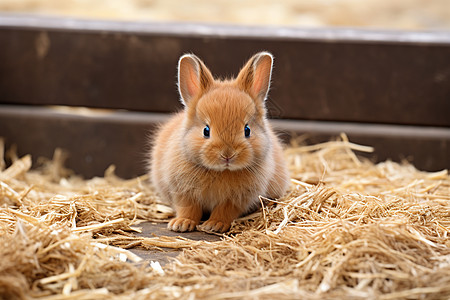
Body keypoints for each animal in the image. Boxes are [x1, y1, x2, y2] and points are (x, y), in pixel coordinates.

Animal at [149, 51, 290, 233]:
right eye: (206, 131)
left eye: (247, 130)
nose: (227, 155)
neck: (221, 171)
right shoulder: (183, 192)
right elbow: (188, 208)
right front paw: (181, 224)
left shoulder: (236, 199)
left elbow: (225, 211)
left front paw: (214, 225)